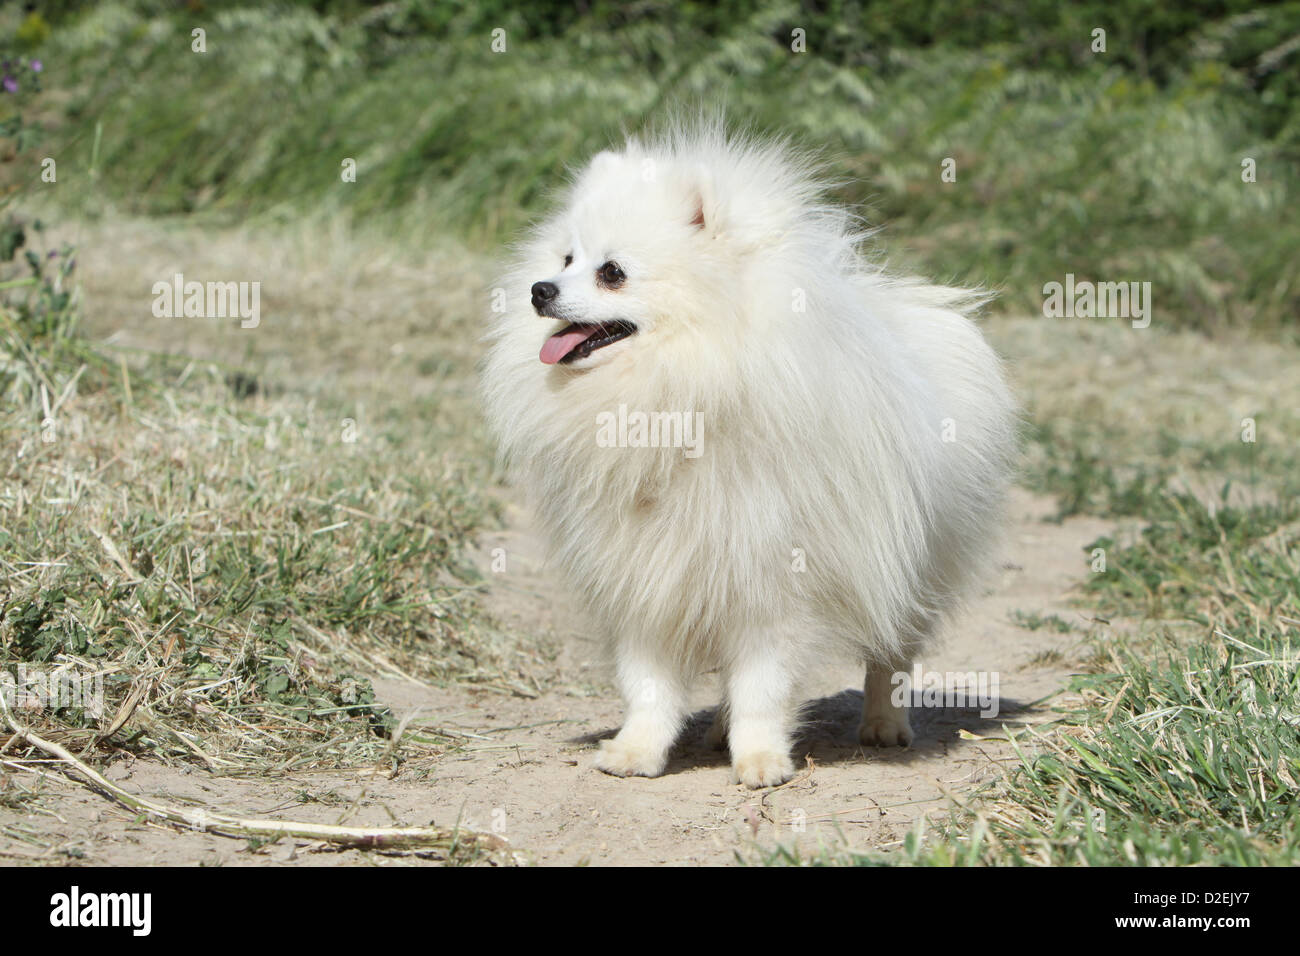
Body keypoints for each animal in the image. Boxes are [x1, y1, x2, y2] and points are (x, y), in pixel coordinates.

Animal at [483, 119, 1019, 790]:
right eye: (566, 259)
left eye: (612, 272)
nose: (539, 289)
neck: (680, 391)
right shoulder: (645, 572)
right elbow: (648, 683)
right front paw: (636, 752)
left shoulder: (778, 580)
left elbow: (764, 685)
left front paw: (762, 759)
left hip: (913, 565)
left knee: (890, 654)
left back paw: (883, 725)